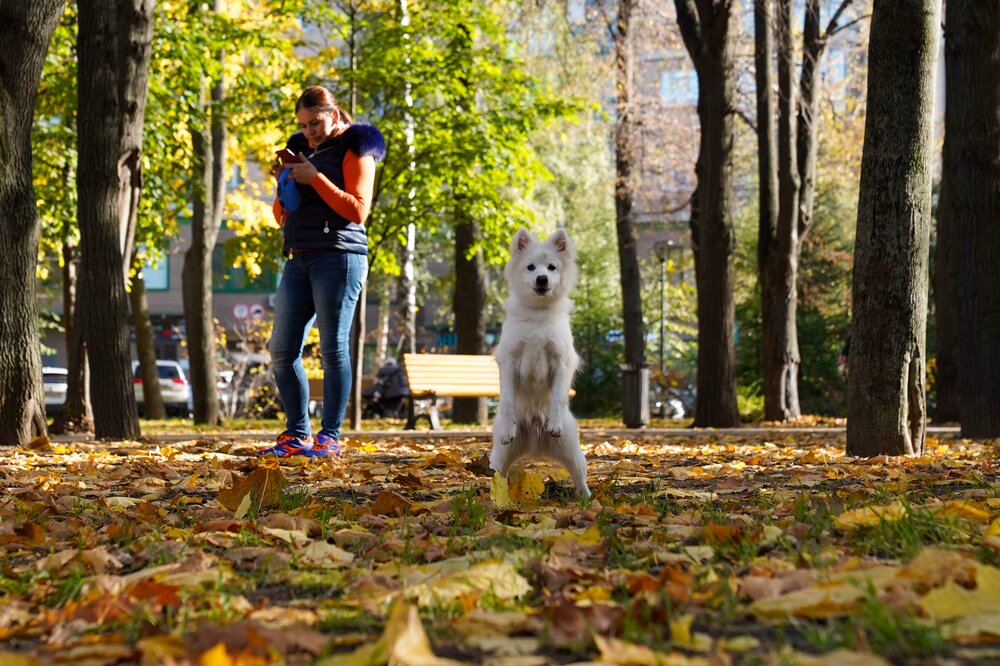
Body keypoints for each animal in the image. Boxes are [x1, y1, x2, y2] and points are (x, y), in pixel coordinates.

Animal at [490, 226, 588, 496]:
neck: (538, 314)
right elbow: (507, 400)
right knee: (498, 476)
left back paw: (587, 498)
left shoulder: (561, 361)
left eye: (552, 267)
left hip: (570, 448)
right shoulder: (509, 360)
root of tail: (534, 437)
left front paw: (554, 423)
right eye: (531, 267)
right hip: (500, 455)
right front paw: (509, 427)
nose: (542, 279)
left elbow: (557, 397)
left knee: (579, 476)